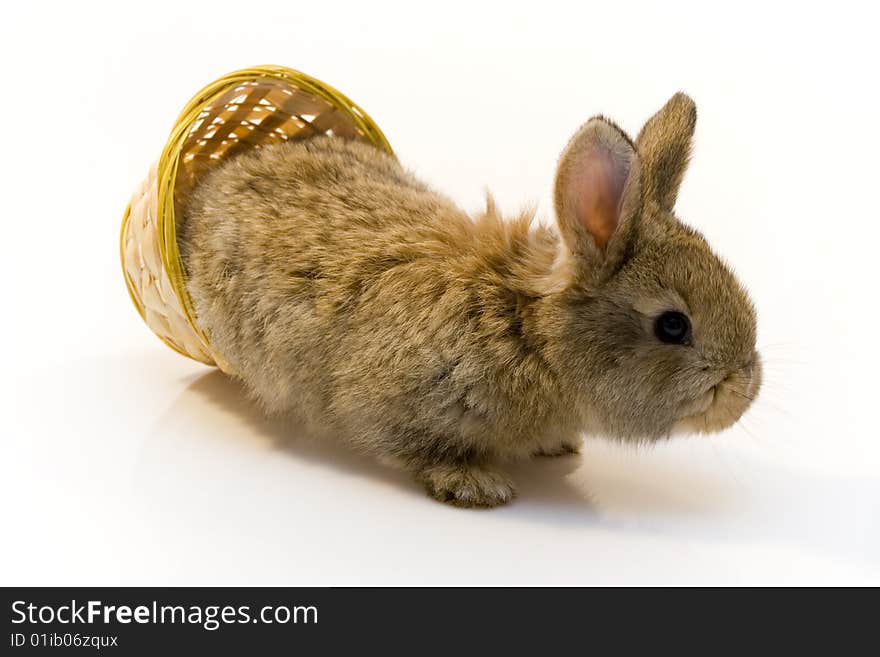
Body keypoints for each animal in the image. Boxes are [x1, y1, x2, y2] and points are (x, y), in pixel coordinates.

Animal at [180, 91, 764, 508]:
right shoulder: (401, 402)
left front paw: (556, 447)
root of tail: (213, 184)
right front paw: (476, 485)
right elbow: (419, 447)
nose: (745, 389)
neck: (530, 335)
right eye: (673, 325)